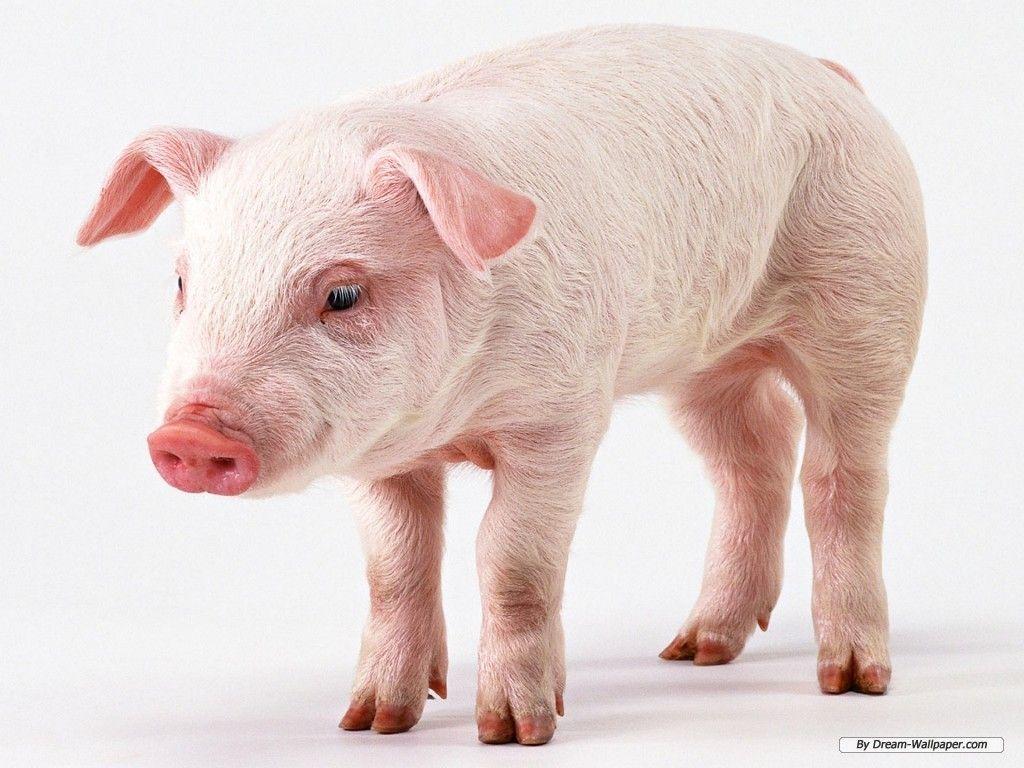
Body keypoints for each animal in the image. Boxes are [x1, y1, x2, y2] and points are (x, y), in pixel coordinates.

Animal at [77, 25, 926, 745]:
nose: (189, 432)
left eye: (343, 294)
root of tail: (829, 74)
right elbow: (393, 569)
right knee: (757, 455)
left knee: (844, 476)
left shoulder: (561, 418)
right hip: (705, 364)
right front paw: (373, 723)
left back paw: (851, 682)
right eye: (182, 282)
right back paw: (694, 652)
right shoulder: (377, 455)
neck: (452, 416)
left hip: (871, 301)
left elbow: (512, 559)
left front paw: (515, 733)